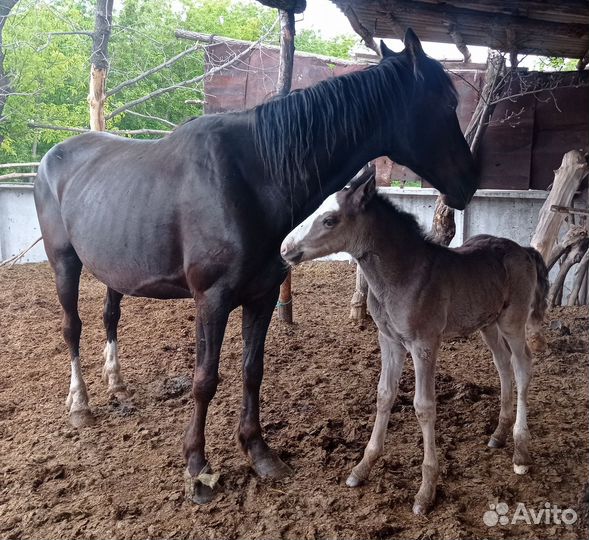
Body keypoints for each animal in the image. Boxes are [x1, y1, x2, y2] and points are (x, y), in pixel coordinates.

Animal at [34, 28, 478, 502]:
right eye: (447, 103)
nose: (470, 181)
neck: (255, 175)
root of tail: (51, 157)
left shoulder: (262, 296)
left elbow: (252, 370)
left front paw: (258, 451)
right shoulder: (211, 301)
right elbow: (205, 379)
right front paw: (197, 468)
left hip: (114, 270)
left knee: (110, 316)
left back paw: (116, 384)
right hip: (64, 262)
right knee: (72, 327)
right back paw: (80, 405)